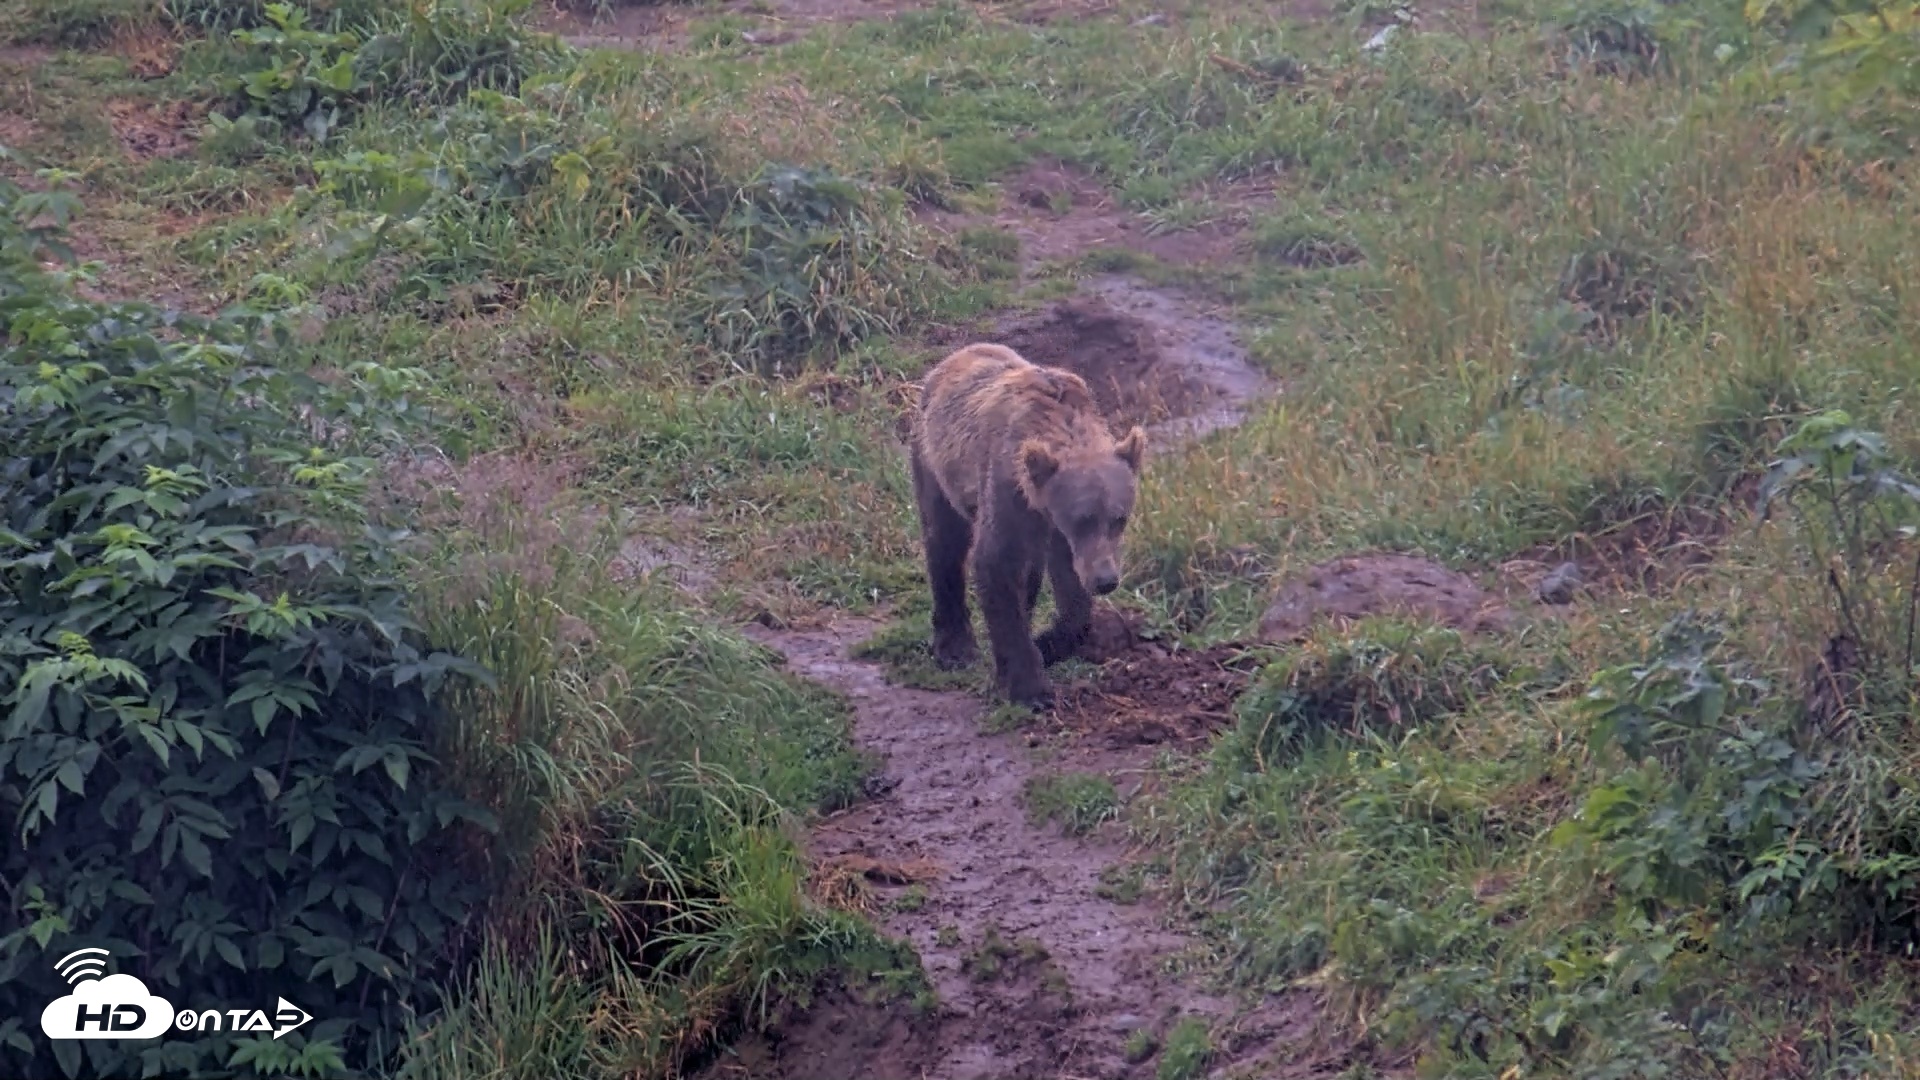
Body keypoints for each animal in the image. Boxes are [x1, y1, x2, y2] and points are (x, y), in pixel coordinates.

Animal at [909, 342, 1147, 708]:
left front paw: (1047, 643)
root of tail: (950, 359)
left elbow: (1069, 587)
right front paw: (1031, 688)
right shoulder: (1009, 490)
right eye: (1083, 519)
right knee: (944, 542)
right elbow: (996, 562)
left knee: (1030, 572)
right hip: (933, 459)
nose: (1106, 580)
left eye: (1119, 519)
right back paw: (954, 647)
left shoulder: (1058, 532)